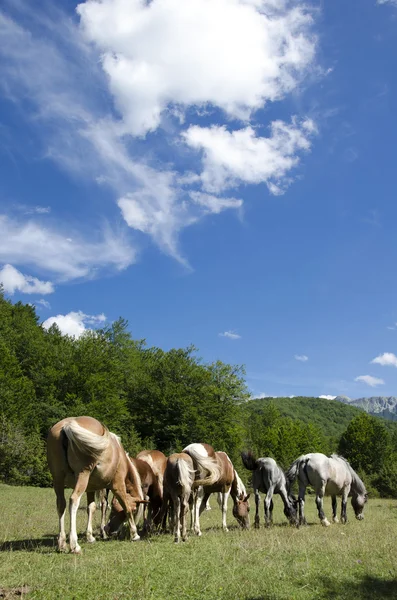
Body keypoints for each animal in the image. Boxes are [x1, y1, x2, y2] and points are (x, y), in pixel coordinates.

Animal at [46, 418, 145, 552]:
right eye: (135, 510)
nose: (112, 531)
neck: (120, 457)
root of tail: (66, 426)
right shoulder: (117, 486)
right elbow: (125, 507)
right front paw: (134, 534)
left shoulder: (91, 489)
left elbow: (91, 508)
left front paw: (90, 537)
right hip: (82, 476)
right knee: (73, 501)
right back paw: (74, 544)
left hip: (58, 480)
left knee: (61, 504)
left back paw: (61, 543)